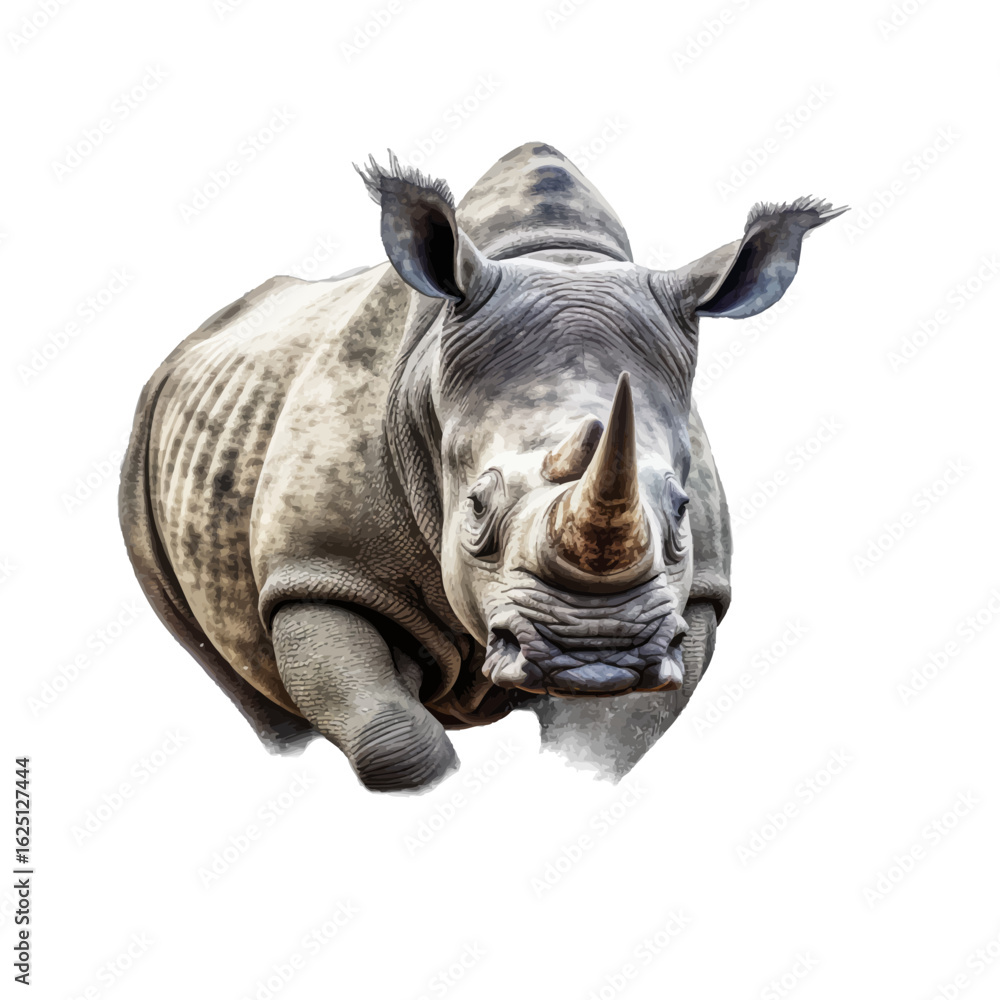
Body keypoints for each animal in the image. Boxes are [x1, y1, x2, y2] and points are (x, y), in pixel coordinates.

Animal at [119, 141, 843, 791]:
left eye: (683, 511)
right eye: (474, 506)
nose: (597, 656)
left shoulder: (692, 598)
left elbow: (601, 746)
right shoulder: (317, 570)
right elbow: (392, 739)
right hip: (143, 437)